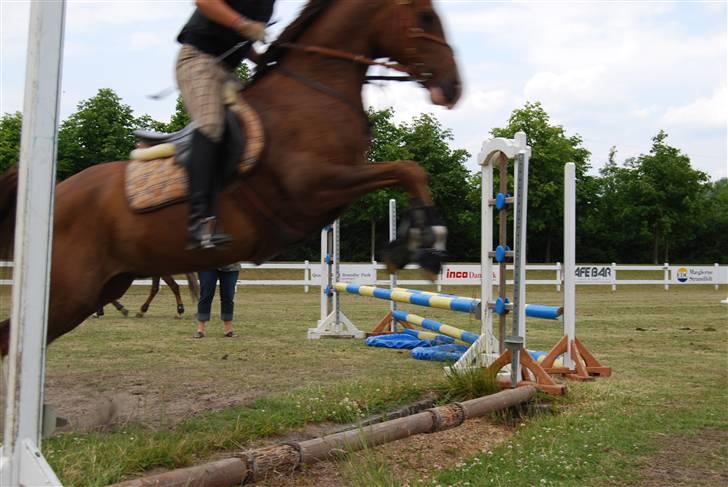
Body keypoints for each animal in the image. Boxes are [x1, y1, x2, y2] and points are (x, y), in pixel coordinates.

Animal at [0, 0, 460, 358]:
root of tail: (54, 194)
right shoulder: (312, 189)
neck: (317, 90)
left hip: (104, 286)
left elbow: (407, 171)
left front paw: (410, 246)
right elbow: (405, 168)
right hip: (67, 292)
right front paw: (427, 247)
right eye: (425, 17)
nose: (453, 87)